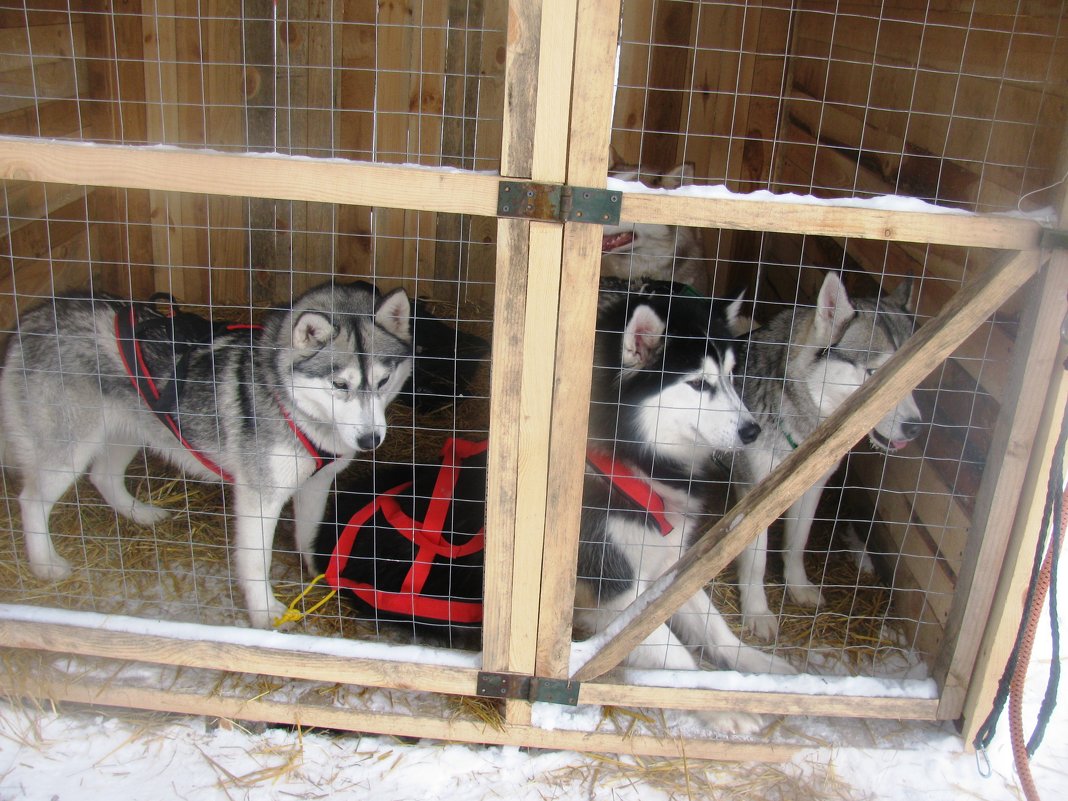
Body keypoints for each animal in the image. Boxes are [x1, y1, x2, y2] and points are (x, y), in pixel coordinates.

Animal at [1, 286, 412, 632]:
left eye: (383, 381)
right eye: (340, 385)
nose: (370, 439)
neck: (291, 405)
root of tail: (36, 315)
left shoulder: (316, 481)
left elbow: (309, 533)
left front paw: (318, 571)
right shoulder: (259, 497)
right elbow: (256, 560)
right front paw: (264, 612)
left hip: (132, 429)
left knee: (103, 476)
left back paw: (141, 514)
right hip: (68, 450)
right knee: (31, 499)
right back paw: (45, 563)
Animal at [576, 279, 794, 696]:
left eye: (732, 374)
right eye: (697, 384)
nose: (752, 431)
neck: (636, 464)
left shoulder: (668, 565)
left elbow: (714, 626)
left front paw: (758, 667)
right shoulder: (613, 593)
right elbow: (678, 660)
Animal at [730, 273, 922, 645]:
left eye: (912, 370)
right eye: (875, 373)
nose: (915, 427)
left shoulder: (810, 488)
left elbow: (797, 543)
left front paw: (798, 586)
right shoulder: (753, 500)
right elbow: (756, 561)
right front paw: (757, 612)